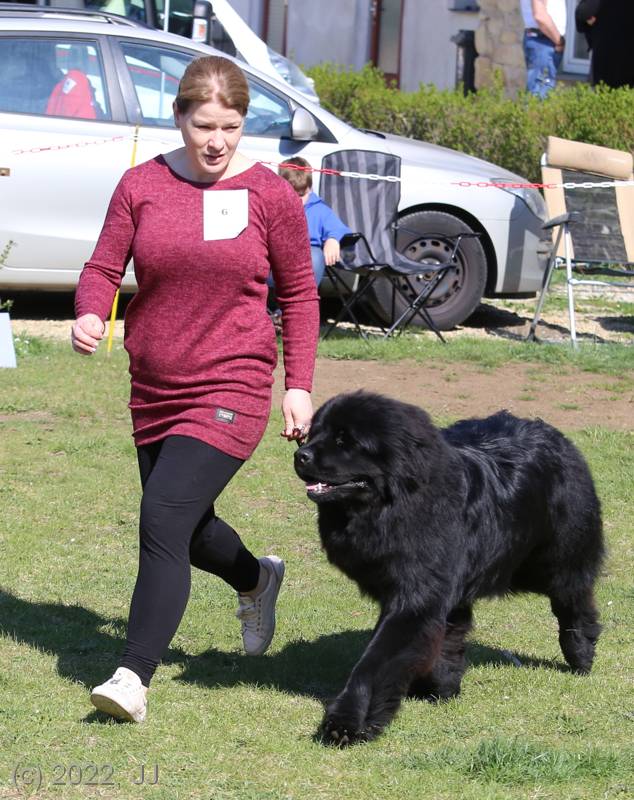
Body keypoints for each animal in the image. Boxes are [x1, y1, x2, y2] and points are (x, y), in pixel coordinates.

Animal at [294, 391, 604, 746]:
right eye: (313, 433)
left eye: (344, 440)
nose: (300, 455)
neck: (394, 505)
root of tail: (556, 436)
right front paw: (441, 687)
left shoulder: (415, 597)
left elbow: (374, 660)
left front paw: (346, 721)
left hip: (552, 559)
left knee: (573, 596)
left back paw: (581, 652)